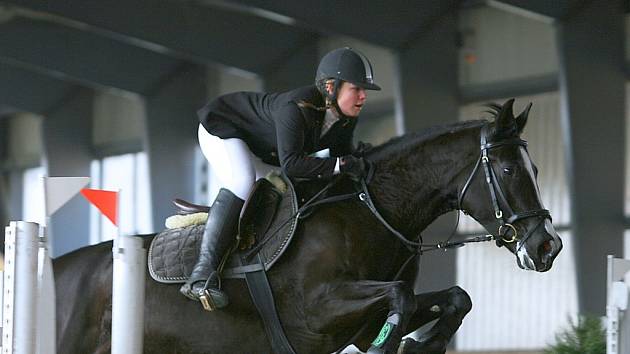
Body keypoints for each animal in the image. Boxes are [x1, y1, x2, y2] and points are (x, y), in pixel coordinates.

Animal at [53, 99, 564, 354]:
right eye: (508, 170)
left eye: (537, 168)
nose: (548, 247)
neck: (372, 212)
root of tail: (58, 269)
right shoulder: (318, 311)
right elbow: (399, 297)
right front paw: (400, 345)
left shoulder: (358, 323)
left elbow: (456, 297)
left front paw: (423, 345)